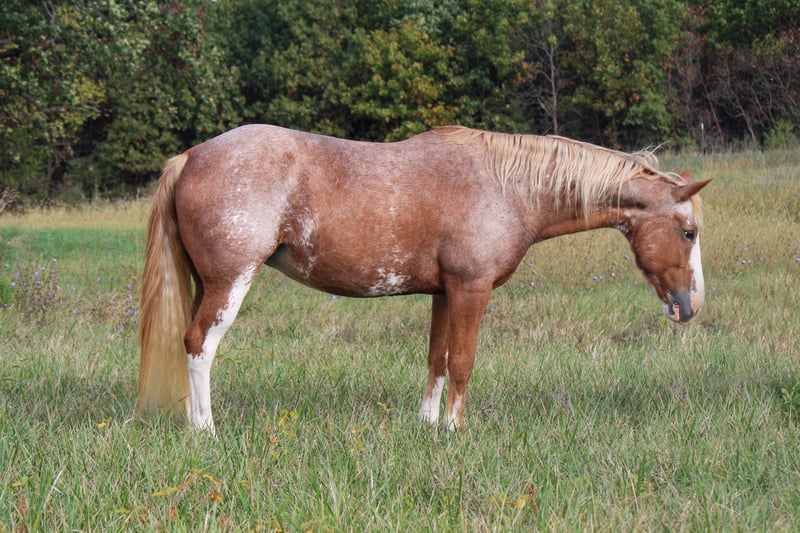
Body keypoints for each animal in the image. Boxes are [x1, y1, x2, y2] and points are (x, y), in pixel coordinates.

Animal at [136, 124, 710, 434]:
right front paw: (455, 430)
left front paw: (428, 425)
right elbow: (463, 363)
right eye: (688, 231)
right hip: (229, 283)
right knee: (199, 344)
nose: (690, 306)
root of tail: (192, 155)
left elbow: (436, 358)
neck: (508, 187)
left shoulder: (444, 293)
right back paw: (205, 429)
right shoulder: (472, 290)